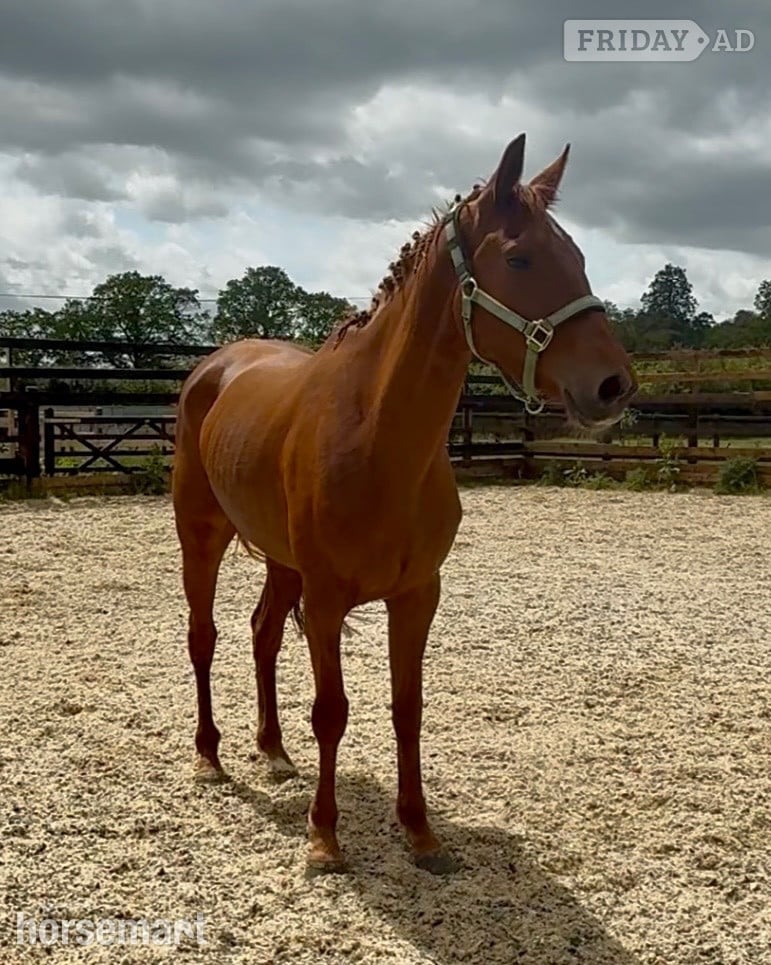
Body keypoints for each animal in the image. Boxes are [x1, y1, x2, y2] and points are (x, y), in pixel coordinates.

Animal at [172, 133, 636, 876]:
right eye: (519, 257)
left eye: (580, 258)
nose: (613, 385)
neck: (376, 438)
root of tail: (215, 365)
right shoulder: (327, 599)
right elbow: (331, 711)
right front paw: (324, 838)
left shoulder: (417, 594)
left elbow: (407, 707)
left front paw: (420, 832)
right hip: (201, 536)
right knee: (204, 636)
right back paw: (209, 757)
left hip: (280, 559)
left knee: (262, 633)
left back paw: (272, 751)